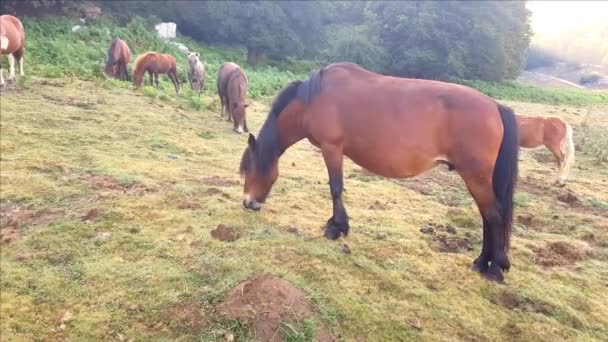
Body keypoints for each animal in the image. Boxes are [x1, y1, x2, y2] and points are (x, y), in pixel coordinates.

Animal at [240, 62, 520, 282]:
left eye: (248, 169)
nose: (248, 203)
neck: (314, 100)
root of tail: (495, 106)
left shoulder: (332, 148)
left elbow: (335, 188)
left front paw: (335, 227)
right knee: (486, 215)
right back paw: (481, 262)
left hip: (475, 175)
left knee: (493, 214)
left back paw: (494, 268)